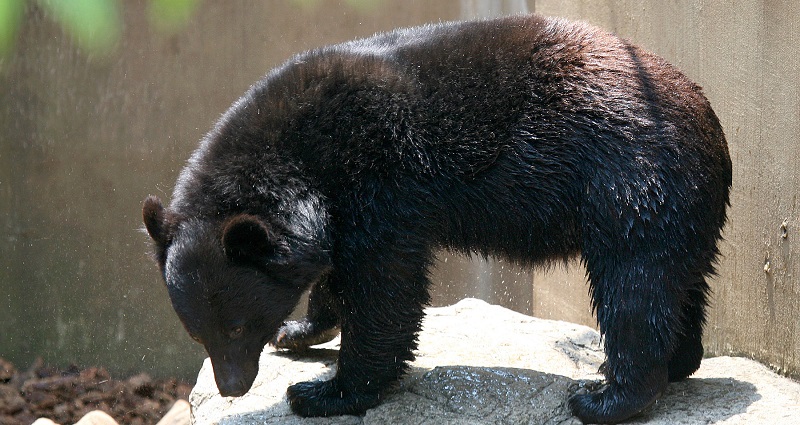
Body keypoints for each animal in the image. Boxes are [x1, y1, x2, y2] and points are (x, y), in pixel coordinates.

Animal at [142, 14, 731, 424]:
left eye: (239, 325)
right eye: (196, 332)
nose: (233, 387)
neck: (301, 156)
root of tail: (711, 123)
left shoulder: (381, 175)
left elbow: (385, 286)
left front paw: (324, 392)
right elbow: (341, 274)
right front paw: (299, 331)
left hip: (630, 183)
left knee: (635, 286)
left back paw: (606, 396)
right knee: (681, 282)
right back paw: (678, 362)